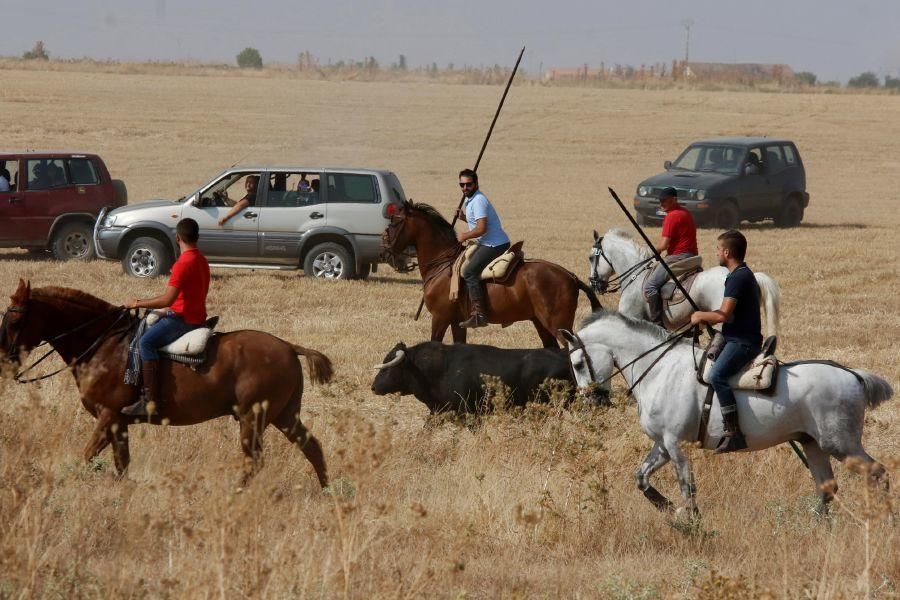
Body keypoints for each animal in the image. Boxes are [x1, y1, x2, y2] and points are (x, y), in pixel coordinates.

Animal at [0, 280, 330, 488]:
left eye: (15, 322)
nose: (4, 361)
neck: (104, 344)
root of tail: (289, 347)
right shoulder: (118, 424)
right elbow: (122, 463)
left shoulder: (109, 416)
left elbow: (88, 454)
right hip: (284, 415)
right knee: (312, 448)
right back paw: (327, 491)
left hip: (254, 418)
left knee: (255, 461)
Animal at [384, 202, 600, 346]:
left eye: (395, 221)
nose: (385, 248)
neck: (442, 264)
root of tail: (570, 276)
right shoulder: (456, 323)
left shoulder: (440, 318)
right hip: (541, 323)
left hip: (558, 325)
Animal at [564, 310, 892, 516]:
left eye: (578, 363)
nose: (591, 402)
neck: (660, 369)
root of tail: (853, 375)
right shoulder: (662, 444)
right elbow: (641, 478)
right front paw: (669, 509)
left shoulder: (675, 443)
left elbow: (687, 486)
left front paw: (691, 521)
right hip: (812, 443)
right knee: (827, 487)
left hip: (840, 444)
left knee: (878, 473)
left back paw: (885, 521)